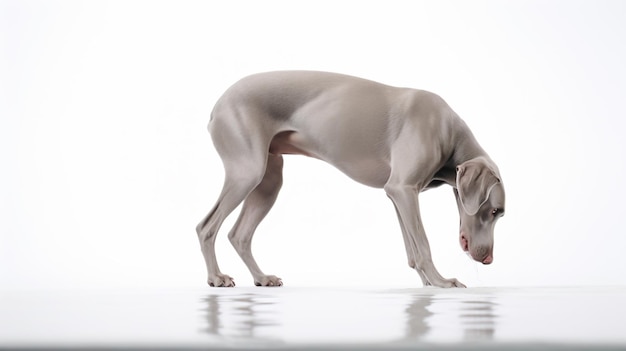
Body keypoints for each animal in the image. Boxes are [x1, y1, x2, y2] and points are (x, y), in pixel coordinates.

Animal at [197, 71, 504, 288]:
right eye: (493, 211)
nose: (489, 259)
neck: (449, 130)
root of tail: (217, 104)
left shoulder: (398, 195)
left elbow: (412, 249)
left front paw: (427, 283)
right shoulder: (403, 189)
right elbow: (424, 245)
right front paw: (442, 282)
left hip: (269, 181)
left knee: (239, 234)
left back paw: (261, 278)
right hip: (247, 172)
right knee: (206, 226)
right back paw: (216, 278)